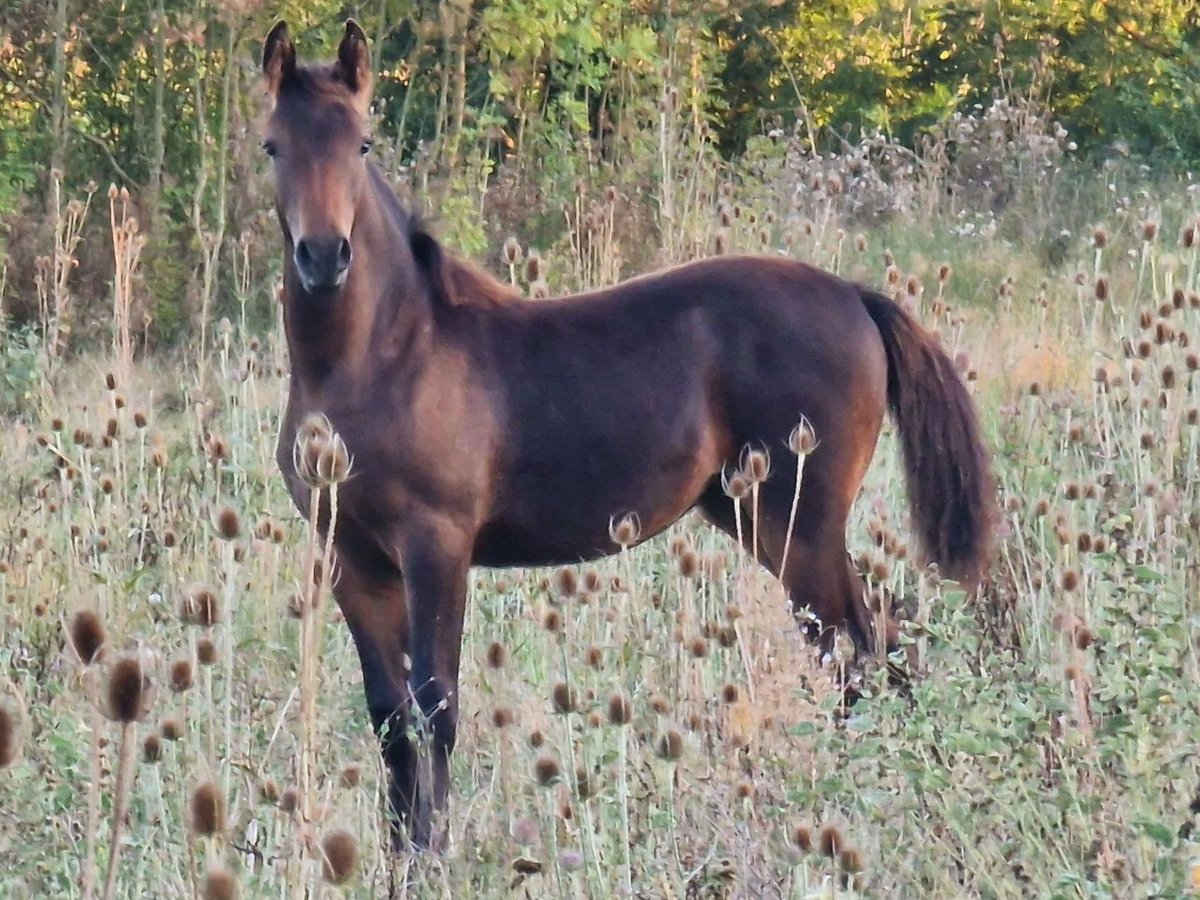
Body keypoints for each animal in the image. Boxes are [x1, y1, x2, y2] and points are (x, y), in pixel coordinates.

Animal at [260, 21, 993, 854]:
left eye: (363, 143)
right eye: (273, 146)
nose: (324, 256)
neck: (386, 354)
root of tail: (856, 296)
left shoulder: (435, 544)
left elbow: (437, 706)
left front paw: (435, 856)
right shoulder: (350, 555)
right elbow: (389, 716)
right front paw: (395, 858)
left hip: (799, 524)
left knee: (856, 650)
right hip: (753, 516)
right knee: (882, 644)